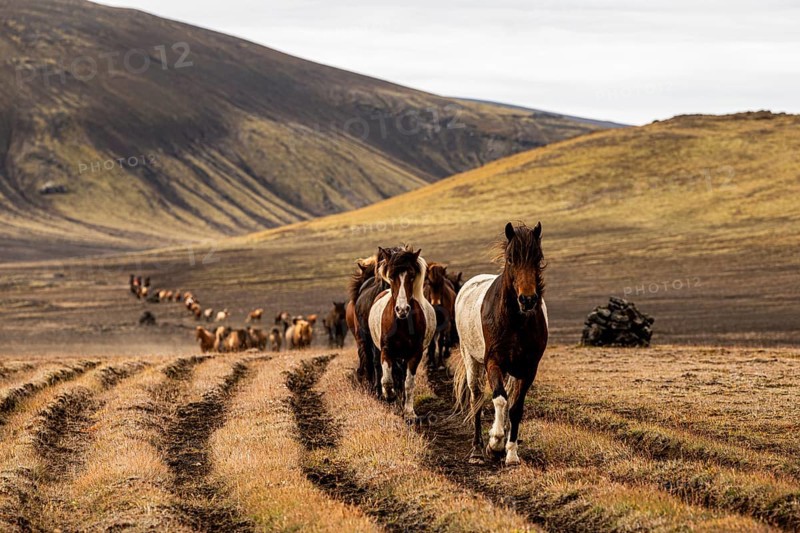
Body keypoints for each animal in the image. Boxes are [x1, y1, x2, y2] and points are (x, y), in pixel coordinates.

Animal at [368, 248, 436, 422]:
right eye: (392, 276)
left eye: (411, 276)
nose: (402, 309)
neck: (402, 323)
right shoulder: (386, 351)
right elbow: (387, 380)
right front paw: (390, 396)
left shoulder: (415, 354)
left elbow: (409, 383)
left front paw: (409, 412)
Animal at [453, 222, 548, 467]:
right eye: (511, 259)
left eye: (538, 258)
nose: (527, 300)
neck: (515, 321)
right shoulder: (493, 363)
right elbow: (499, 399)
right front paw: (494, 443)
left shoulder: (528, 369)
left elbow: (515, 408)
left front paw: (511, 453)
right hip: (471, 360)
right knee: (476, 399)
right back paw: (477, 451)